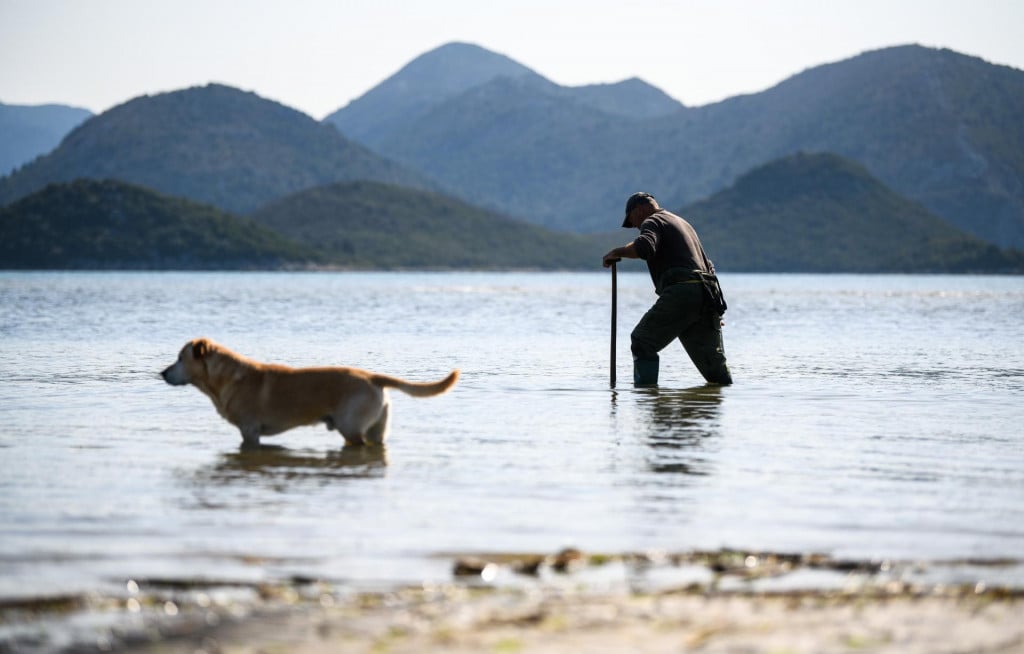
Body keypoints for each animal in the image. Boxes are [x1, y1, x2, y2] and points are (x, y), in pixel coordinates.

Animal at [161, 339, 458, 448]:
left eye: (179, 358)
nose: (162, 373)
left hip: (351, 427)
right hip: (378, 430)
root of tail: (373, 377)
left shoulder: (250, 430)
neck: (225, 377)